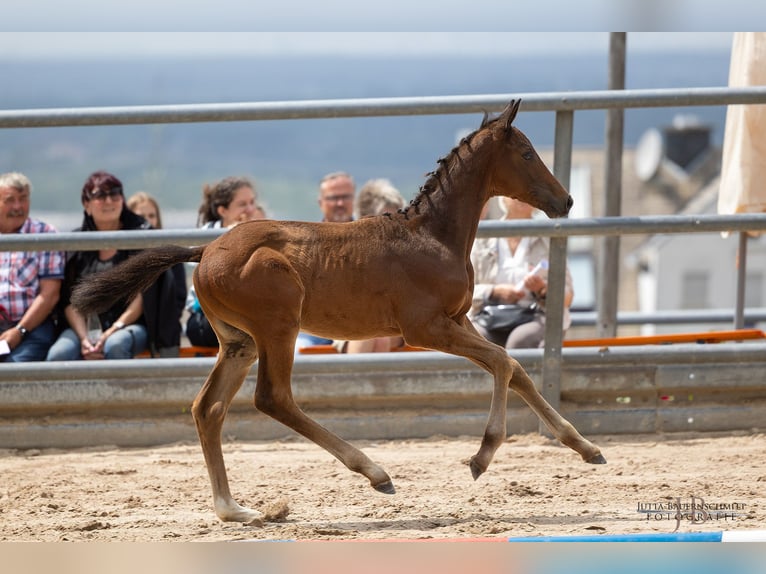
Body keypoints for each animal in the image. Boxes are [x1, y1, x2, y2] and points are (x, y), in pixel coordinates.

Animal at [75, 100, 608, 528]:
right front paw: (482, 456)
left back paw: (236, 509)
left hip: (239, 342)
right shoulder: (425, 328)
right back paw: (375, 473)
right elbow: (503, 362)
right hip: (278, 326)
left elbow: (516, 370)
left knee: (208, 408)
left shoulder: (460, 321)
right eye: (527, 154)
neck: (432, 236)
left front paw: (587, 448)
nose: (565, 199)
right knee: (273, 398)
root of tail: (204, 250)